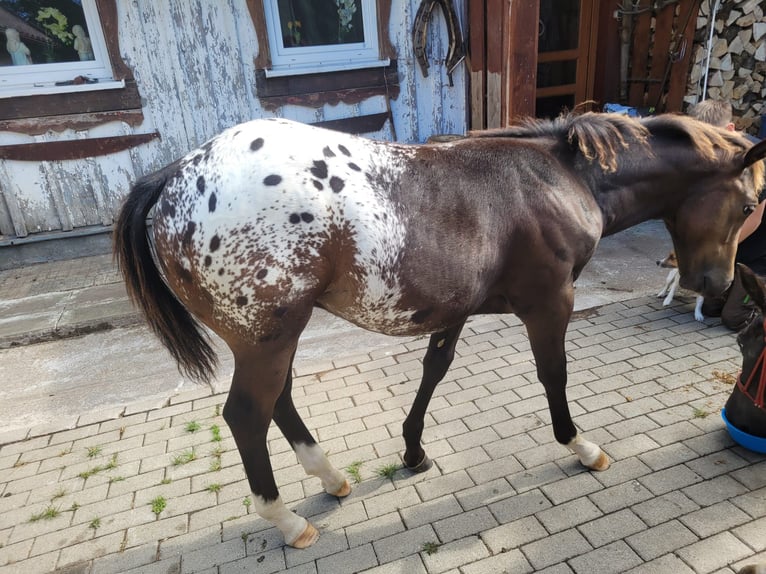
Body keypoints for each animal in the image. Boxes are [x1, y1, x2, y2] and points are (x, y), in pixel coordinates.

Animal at [114, 111, 766, 548]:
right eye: (747, 205)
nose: (716, 285)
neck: (559, 178)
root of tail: (173, 176)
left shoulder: (456, 312)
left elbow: (435, 371)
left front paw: (414, 451)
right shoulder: (550, 303)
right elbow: (553, 376)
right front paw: (581, 446)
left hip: (273, 338)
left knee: (280, 401)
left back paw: (333, 479)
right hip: (266, 339)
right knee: (248, 415)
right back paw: (289, 520)